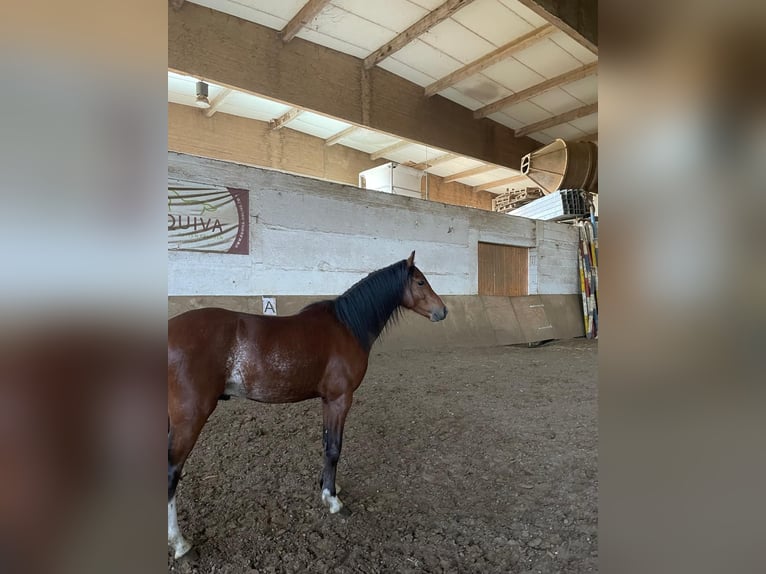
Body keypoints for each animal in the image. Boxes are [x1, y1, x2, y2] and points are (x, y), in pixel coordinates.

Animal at [165, 252, 448, 560]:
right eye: (420, 282)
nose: (443, 311)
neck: (347, 326)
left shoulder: (327, 401)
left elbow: (326, 445)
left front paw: (327, 486)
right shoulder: (340, 399)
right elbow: (334, 448)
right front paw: (333, 500)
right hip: (190, 418)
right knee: (171, 472)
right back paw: (180, 544)